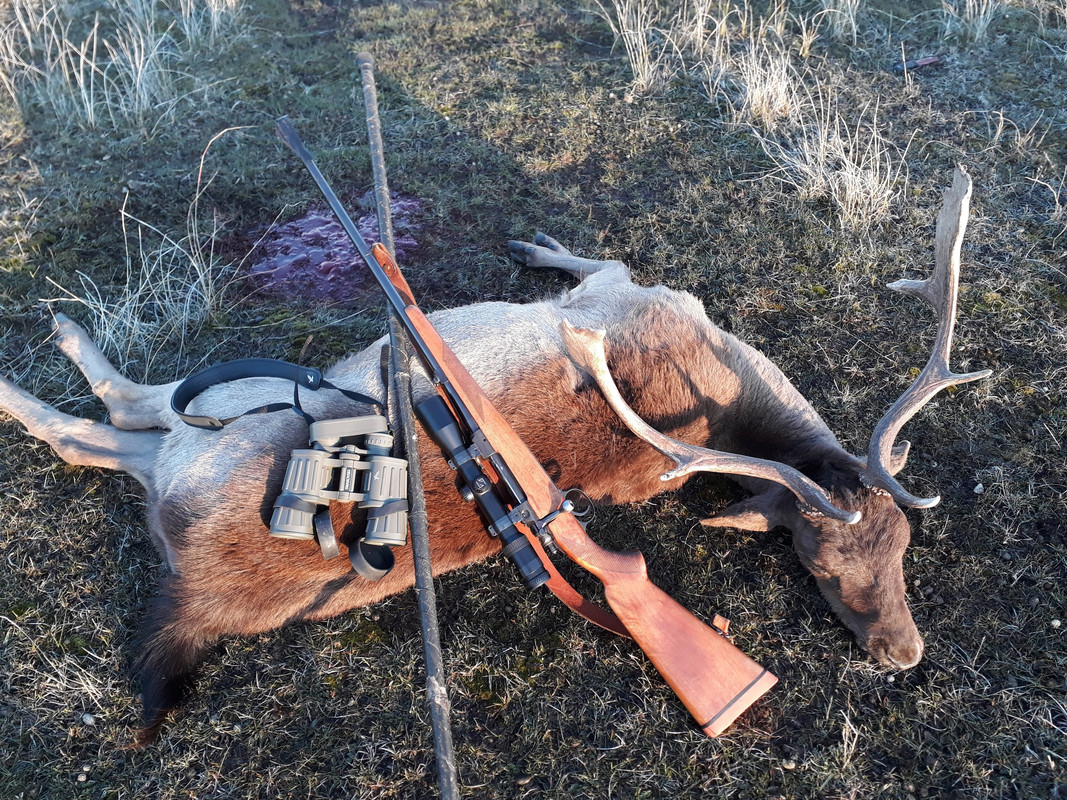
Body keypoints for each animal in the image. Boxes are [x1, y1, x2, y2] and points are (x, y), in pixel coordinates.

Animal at [0, 167, 989, 744]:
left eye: (900, 551)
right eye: (820, 564)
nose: (901, 654)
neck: (729, 395)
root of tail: (197, 588)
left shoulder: (630, 288)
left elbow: (595, 257)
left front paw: (534, 241)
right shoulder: (635, 301)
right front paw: (535, 241)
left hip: (231, 421)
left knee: (114, 419)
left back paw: (51, 344)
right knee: (117, 425)